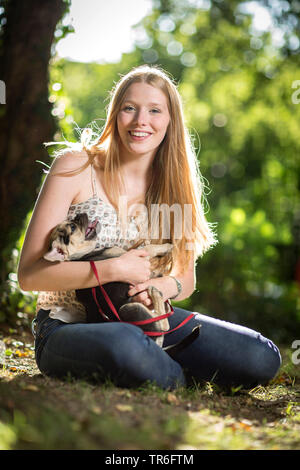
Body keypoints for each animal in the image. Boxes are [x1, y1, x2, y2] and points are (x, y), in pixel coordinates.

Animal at [45, 212, 175, 346]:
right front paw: (166, 246)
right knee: (164, 325)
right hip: (129, 309)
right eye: (72, 227)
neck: (81, 257)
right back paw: (156, 294)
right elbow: (148, 248)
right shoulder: (132, 257)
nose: (79, 214)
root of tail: (151, 339)